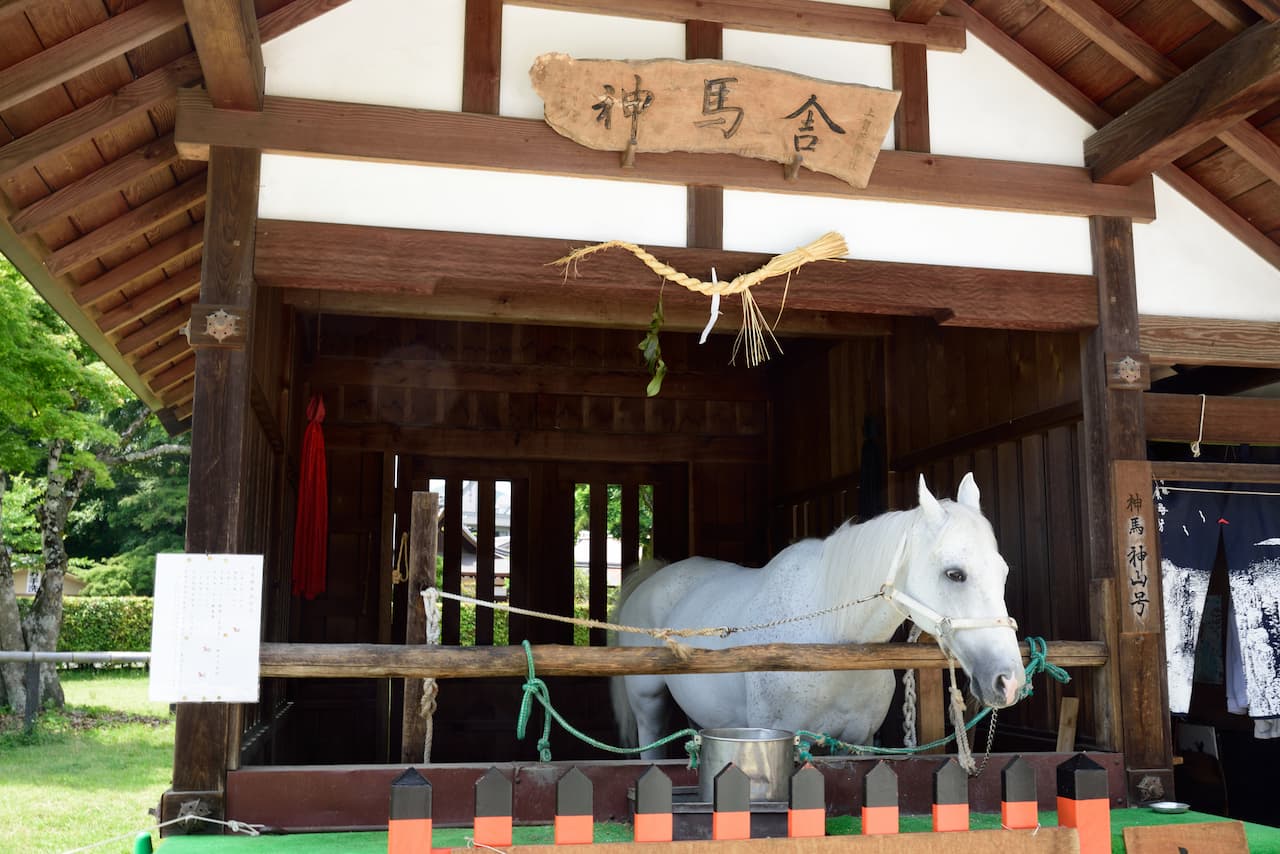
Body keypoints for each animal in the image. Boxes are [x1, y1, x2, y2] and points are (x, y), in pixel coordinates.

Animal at [614, 473, 1024, 763]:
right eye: (954, 574)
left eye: (1004, 572)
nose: (1008, 681)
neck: (833, 643)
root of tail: (654, 578)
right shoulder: (783, 736)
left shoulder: (857, 742)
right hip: (648, 704)